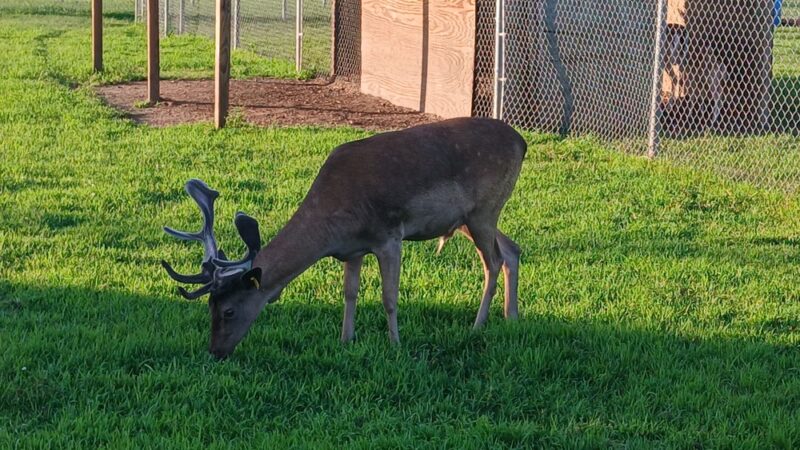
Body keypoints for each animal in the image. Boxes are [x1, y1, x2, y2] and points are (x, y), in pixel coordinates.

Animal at [161, 117, 526, 359]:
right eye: (209, 306)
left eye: (228, 311)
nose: (214, 352)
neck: (336, 225)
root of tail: (521, 142)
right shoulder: (353, 250)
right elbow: (349, 293)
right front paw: (345, 339)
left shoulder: (388, 235)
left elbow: (388, 297)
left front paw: (395, 344)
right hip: (468, 218)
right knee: (512, 249)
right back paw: (511, 316)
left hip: (484, 208)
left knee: (493, 261)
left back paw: (478, 324)